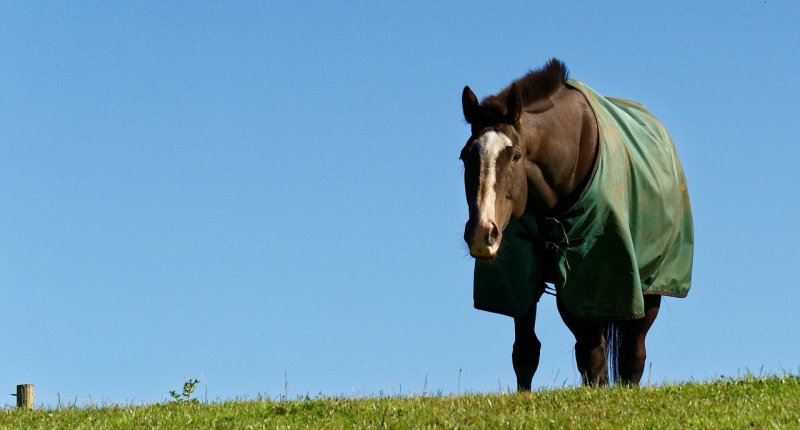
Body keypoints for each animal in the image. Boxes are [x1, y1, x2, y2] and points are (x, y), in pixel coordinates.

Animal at [460, 58, 692, 392]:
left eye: (515, 155)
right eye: (465, 157)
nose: (482, 233)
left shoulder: (595, 280)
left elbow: (593, 354)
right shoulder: (524, 281)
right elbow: (526, 351)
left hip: (650, 288)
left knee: (632, 353)